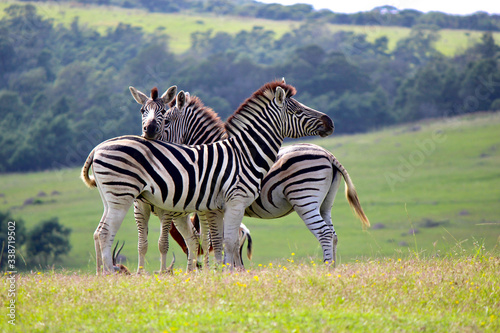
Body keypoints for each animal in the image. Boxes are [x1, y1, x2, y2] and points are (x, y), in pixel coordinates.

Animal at [81, 80, 332, 272]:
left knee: (99, 232)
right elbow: (222, 242)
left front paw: (218, 272)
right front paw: (224, 274)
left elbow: (214, 242)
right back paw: (110, 275)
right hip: (122, 197)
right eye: (297, 111)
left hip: (112, 198)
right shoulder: (229, 203)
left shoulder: (211, 206)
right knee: (104, 233)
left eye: (165, 117)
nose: (329, 121)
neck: (244, 153)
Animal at [162, 89, 370, 266]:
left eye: (166, 121)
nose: (329, 122)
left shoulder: (211, 209)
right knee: (333, 234)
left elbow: (213, 241)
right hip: (325, 202)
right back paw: (333, 268)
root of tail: (329, 155)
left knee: (324, 233)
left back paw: (326, 268)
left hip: (304, 197)